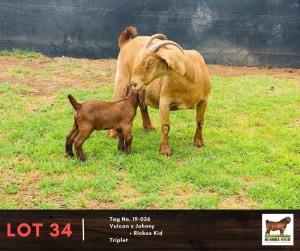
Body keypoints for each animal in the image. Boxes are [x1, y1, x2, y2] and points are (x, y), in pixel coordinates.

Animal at [111, 26, 210, 155]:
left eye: (150, 62)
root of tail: (126, 42)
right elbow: (165, 126)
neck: (192, 73)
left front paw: (198, 142)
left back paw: (148, 127)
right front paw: (165, 150)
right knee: (116, 100)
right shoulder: (165, 101)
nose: (134, 83)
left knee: (142, 104)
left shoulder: (204, 100)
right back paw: (112, 133)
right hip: (122, 80)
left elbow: (200, 121)